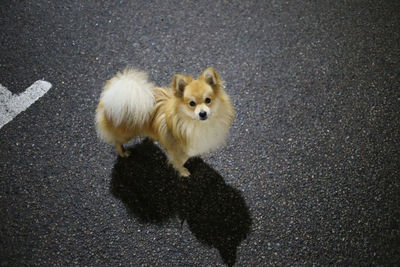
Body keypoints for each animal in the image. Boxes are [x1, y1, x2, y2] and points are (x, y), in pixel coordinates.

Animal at [95, 67, 234, 177]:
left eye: (208, 100)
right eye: (192, 104)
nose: (202, 113)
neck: (193, 123)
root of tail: (110, 98)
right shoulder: (178, 151)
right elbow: (179, 162)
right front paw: (183, 171)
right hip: (126, 133)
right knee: (117, 142)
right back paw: (123, 153)